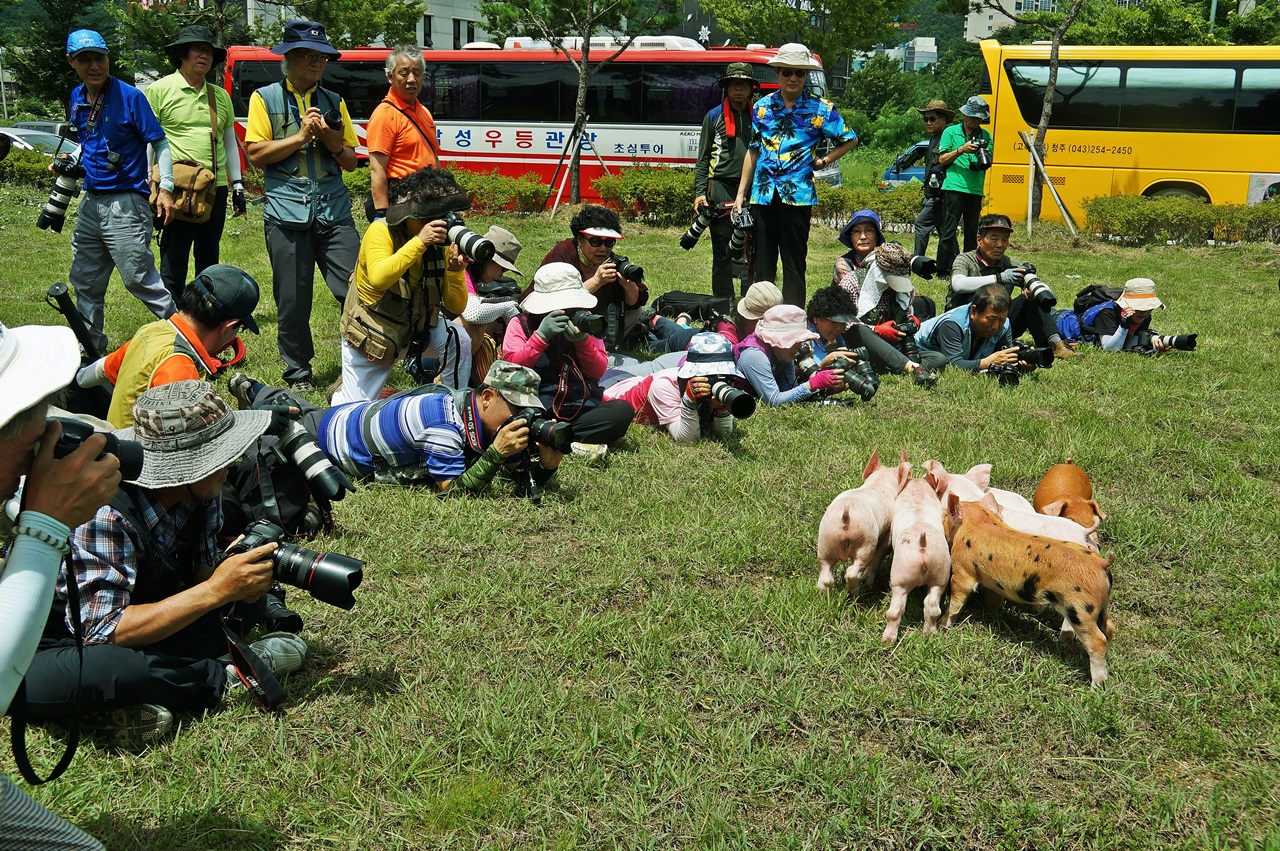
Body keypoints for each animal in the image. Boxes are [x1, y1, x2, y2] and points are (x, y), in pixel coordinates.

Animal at [816, 450, 907, 596]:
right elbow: (880, 554)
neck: (879, 482)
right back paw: (856, 592)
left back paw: (825, 595)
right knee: (853, 570)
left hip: (826, 540)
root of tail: (846, 517)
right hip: (865, 542)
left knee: (826, 573)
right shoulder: (887, 533)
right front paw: (869, 583)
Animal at [882, 464, 952, 643]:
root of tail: (922, 544)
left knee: (895, 610)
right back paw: (930, 633)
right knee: (933, 606)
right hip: (940, 572)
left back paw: (887, 640)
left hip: (900, 575)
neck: (918, 491)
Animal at [941, 492, 1116, 687]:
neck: (978, 524)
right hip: (1100, 606)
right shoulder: (994, 583)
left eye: (946, 514)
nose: (941, 519)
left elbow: (956, 600)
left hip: (1080, 609)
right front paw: (991, 616)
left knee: (1097, 641)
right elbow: (993, 600)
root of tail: (1101, 563)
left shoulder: (963, 570)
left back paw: (1096, 686)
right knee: (1109, 627)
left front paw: (943, 625)